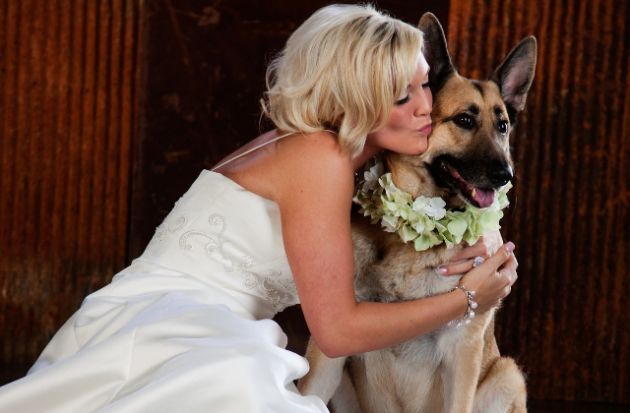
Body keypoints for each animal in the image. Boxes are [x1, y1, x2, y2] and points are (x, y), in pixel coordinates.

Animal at [300, 12, 540, 412]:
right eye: (464, 120)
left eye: (503, 126)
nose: (506, 175)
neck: (413, 238)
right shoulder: (328, 354)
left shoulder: (463, 352)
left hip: (507, 374)